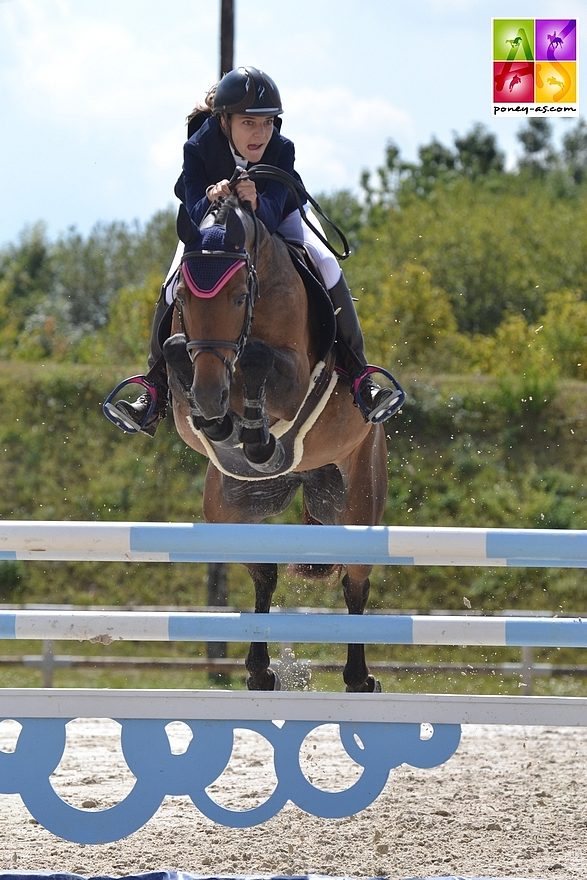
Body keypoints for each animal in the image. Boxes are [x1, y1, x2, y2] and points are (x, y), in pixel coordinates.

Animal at [162, 192, 390, 696]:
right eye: (182, 298)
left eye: (239, 296)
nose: (211, 395)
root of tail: (301, 477)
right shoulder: (186, 396)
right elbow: (176, 353)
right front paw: (228, 425)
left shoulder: (295, 378)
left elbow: (259, 358)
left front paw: (254, 431)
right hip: (228, 512)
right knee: (264, 573)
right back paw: (260, 670)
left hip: (356, 496)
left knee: (355, 581)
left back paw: (359, 677)